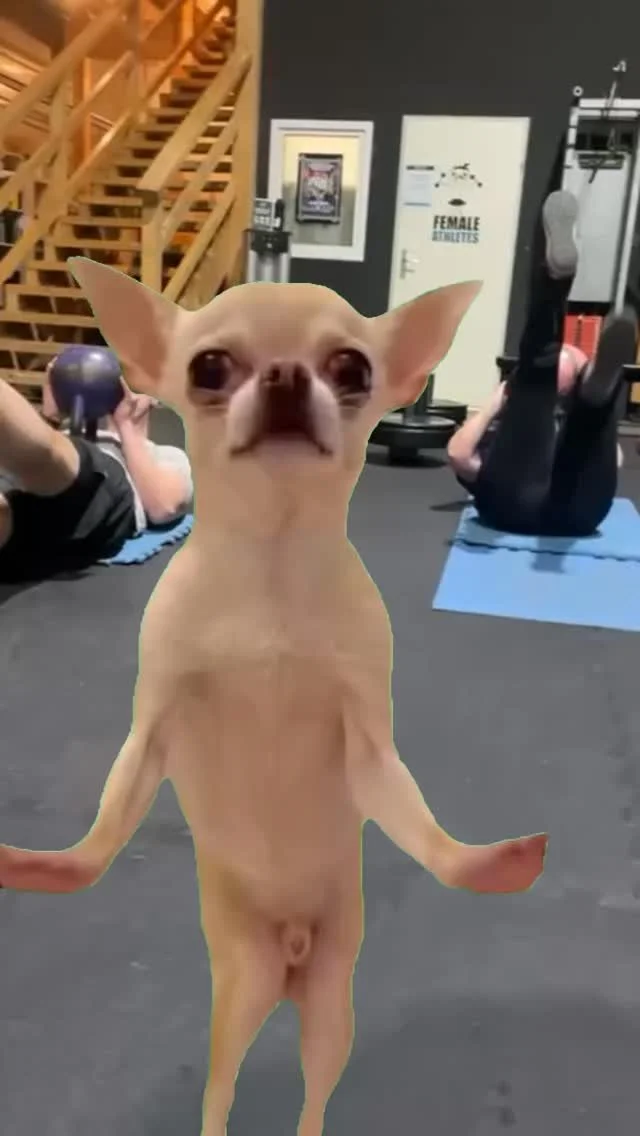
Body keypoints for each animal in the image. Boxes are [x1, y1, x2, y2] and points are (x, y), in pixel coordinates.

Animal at [0, 262, 548, 1135]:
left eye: (353, 368)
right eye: (209, 367)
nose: (288, 375)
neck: (272, 567)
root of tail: (286, 960)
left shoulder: (370, 748)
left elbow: (429, 836)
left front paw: (483, 864)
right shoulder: (150, 733)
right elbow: (98, 842)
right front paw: (42, 867)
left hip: (331, 1008)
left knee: (314, 1095)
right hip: (239, 993)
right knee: (220, 1093)